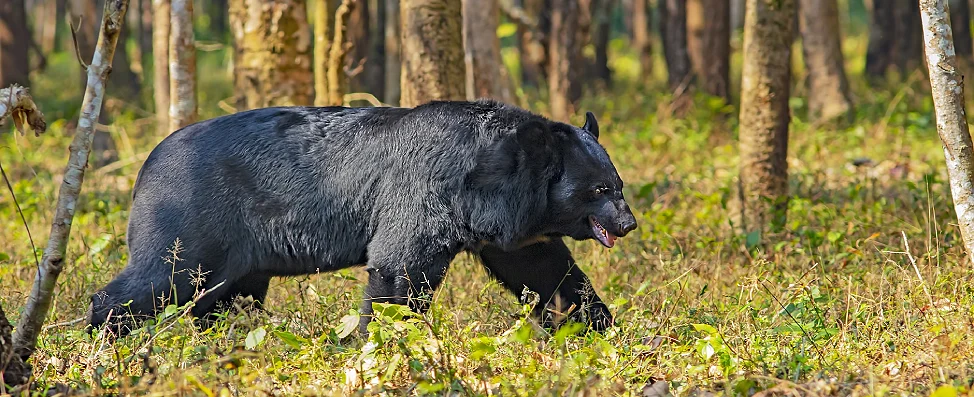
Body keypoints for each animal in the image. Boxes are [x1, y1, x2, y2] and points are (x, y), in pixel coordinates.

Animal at [89, 99, 640, 334]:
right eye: (598, 190)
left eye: (618, 185)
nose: (628, 224)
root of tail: (146, 165)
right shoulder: (424, 195)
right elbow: (399, 268)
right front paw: (384, 340)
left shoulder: (516, 232)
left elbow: (549, 271)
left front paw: (602, 326)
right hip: (192, 223)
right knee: (158, 279)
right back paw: (104, 339)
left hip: (239, 261)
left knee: (221, 300)